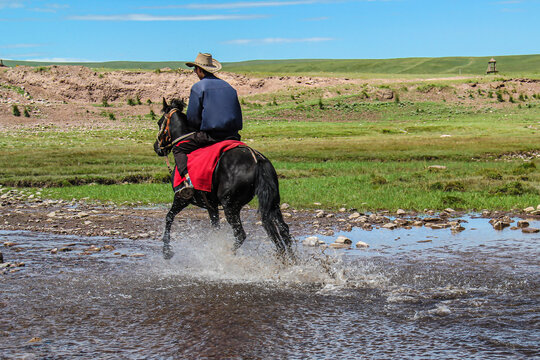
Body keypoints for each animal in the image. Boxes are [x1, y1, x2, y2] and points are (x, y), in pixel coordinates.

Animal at [153, 100, 296, 260]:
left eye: (159, 122)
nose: (156, 147)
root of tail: (256, 159)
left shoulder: (181, 198)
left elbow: (169, 217)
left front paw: (166, 251)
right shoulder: (211, 205)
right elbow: (215, 228)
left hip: (230, 206)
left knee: (240, 234)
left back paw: (225, 256)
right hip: (273, 202)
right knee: (283, 229)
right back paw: (291, 261)